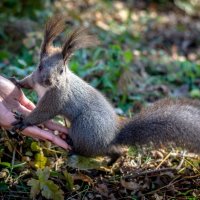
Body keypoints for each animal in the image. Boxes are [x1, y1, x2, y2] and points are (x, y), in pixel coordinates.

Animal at [10, 15, 200, 161]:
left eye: (61, 71)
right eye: (40, 66)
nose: (48, 81)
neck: (44, 87)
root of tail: (111, 137)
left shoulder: (56, 98)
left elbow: (42, 113)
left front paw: (24, 121)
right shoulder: (34, 79)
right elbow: (28, 81)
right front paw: (16, 81)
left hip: (85, 128)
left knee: (95, 151)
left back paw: (76, 149)